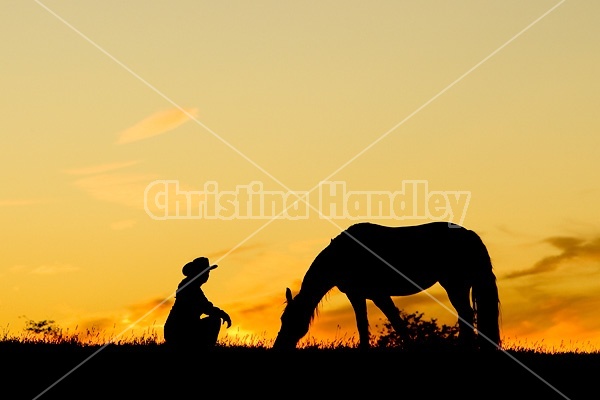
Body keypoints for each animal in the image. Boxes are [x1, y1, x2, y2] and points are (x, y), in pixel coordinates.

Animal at [274, 222, 500, 350]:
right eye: (282, 319)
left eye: (290, 320)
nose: (279, 347)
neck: (342, 256)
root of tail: (470, 235)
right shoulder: (360, 295)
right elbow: (377, 322)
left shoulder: (375, 294)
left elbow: (387, 321)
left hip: (455, 285)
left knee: (466, 314)